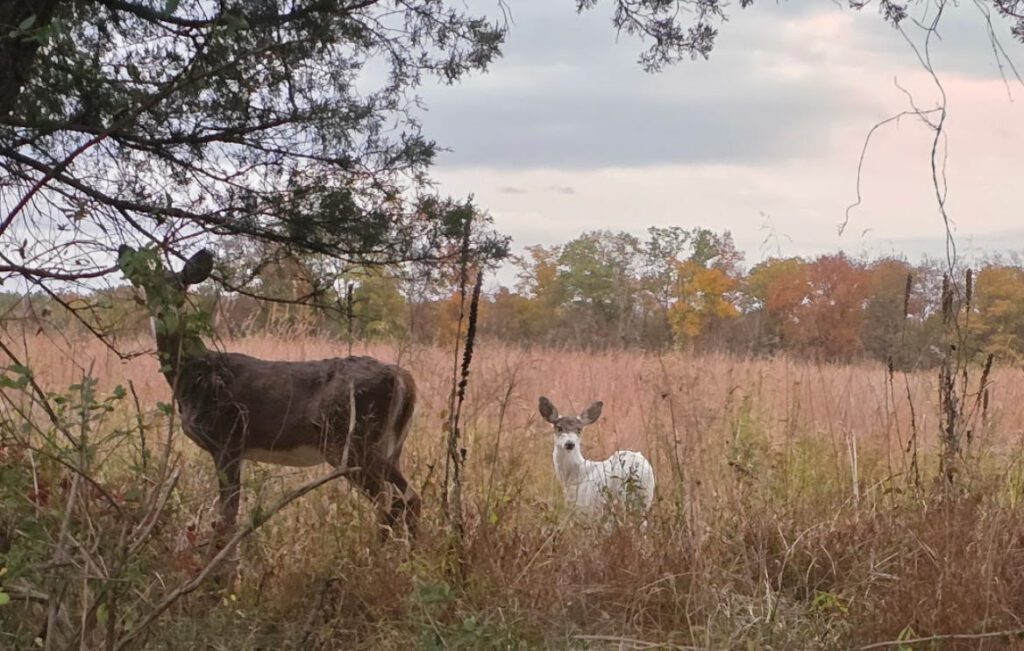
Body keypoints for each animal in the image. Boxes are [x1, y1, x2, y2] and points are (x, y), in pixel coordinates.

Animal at [117, 245, 420, 543]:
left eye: (181, 287)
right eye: (149, 287)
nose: (163, 314)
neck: (196, 375)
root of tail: (404, 378)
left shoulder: (228, 438)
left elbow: (227, 517)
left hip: (353, 440)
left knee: (394, 499)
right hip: (389, 444)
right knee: (403, 498)